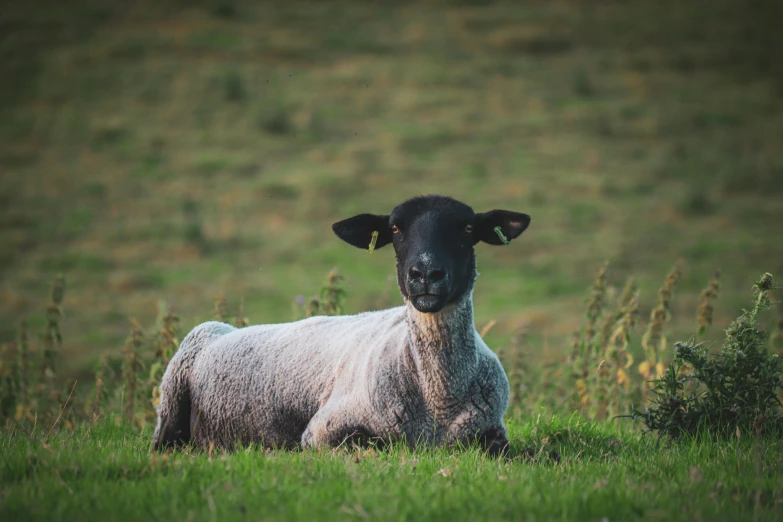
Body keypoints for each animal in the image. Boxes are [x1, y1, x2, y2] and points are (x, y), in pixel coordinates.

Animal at [152, 195, 532, 456]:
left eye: (467, 228)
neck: (437, 399)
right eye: (395, 228)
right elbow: (372, 443)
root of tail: (223, 328)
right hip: (170, 401)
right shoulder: (324, 429)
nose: (425, 274)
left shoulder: (492, 433)